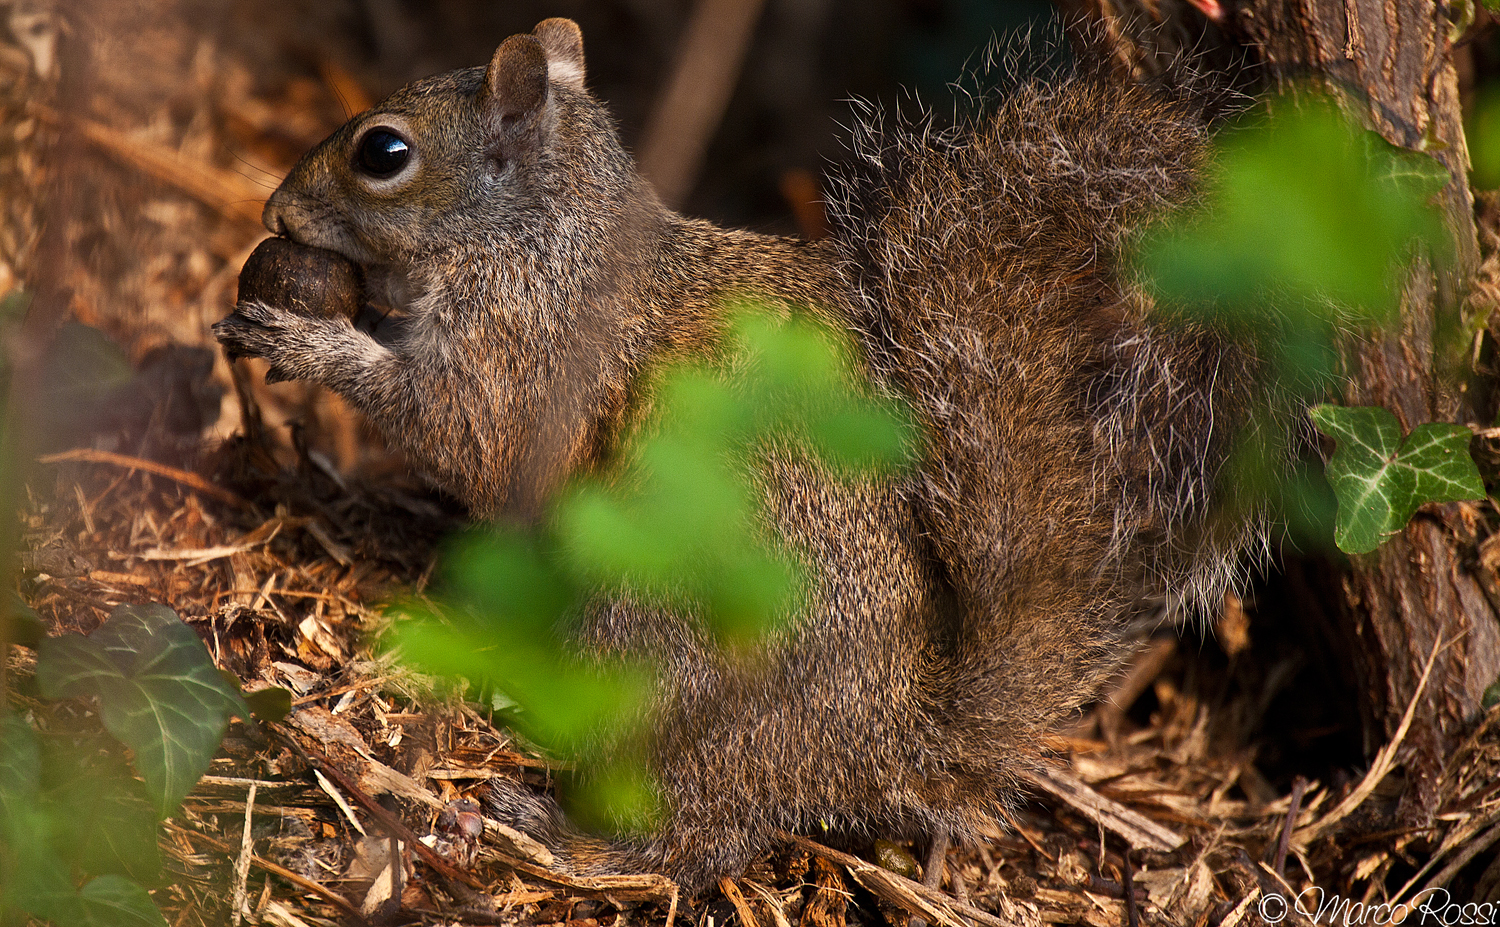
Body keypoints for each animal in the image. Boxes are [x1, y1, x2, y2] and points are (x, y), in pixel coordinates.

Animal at [215, 18, 1261, 895]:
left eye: (384, 152)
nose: (275, 205)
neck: (539, 235)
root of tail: (888, 740)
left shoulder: (523, 353)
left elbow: (452, 427)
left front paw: (307, 340)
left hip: (654, 644)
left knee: (695, 841)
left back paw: (559, 838)